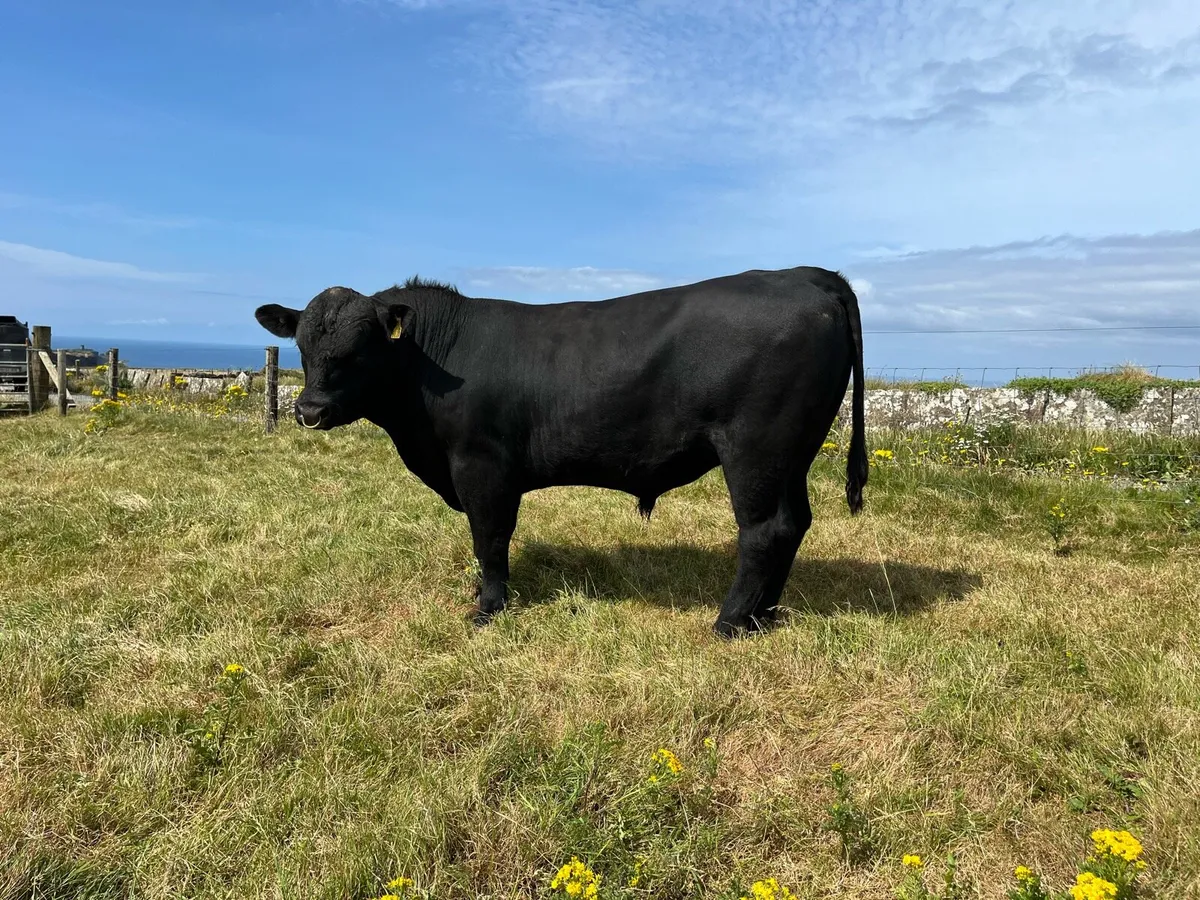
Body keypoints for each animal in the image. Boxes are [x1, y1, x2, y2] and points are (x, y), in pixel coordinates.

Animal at [255, 266, 867, 637]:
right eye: (304, 345)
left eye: (360, 348)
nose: (309, 409)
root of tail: (807, 275)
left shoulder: (482, 467)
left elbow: (490, 537)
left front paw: (488, 607)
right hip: (791, 454)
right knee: (794, 523)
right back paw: (764, 615)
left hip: (755, 449)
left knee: (764, 530)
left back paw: (730, 622)